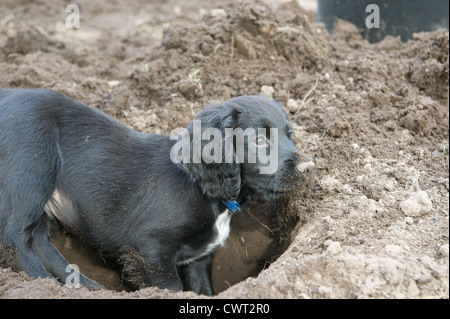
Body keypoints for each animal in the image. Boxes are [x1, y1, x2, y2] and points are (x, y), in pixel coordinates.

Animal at [0, 89, 314, 296]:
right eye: (259, 140)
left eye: (291, 135)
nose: (309, 167)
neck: (206, 193)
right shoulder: (150, 249)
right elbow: (172, 288)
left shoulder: (198, 261)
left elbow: (201, 290)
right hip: (32, 169)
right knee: (16, 238)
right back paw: (43, 284)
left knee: (40, 240)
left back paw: (83, 287)